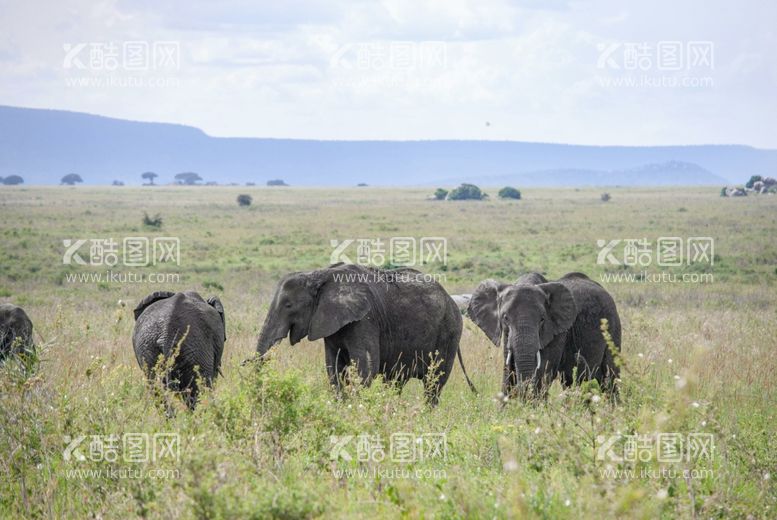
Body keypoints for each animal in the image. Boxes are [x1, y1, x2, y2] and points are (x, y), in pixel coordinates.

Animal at [256, 262, 472, 404]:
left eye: (288, 305)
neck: (320, 274)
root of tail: (451, 298)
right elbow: (334, 368)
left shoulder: (365, 320)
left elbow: (366, 367)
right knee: (396, 382)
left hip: (450, 331)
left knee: (433, 383)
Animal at [466, 272, 620, 398]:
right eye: (505, 318)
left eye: (542, 319)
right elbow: (508, 366)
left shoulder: (558, 330)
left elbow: (545, 367)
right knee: (570, 380)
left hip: (612, 325)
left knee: (610, 376)